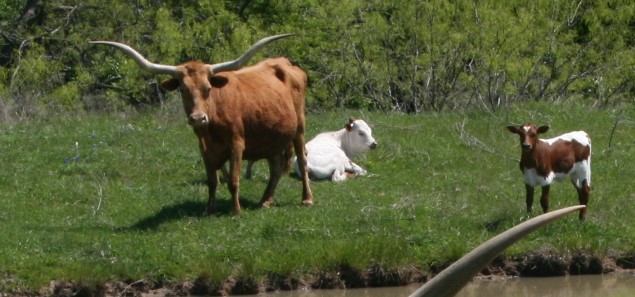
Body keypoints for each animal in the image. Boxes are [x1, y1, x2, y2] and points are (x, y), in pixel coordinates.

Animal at [90, 34, 314, 214]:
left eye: (208, 88)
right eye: (182, 89)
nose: (198, 118)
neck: (212, 127)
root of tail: (285, 62)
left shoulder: (237, 144)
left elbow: (233, 180)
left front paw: (236, 210)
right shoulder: (205, 149)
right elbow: (212, 181)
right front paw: (209, 209)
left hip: (299, 128)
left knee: (302, 159)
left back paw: (307, 199)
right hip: (272, 136)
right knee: (275, 167)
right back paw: (265, 200)